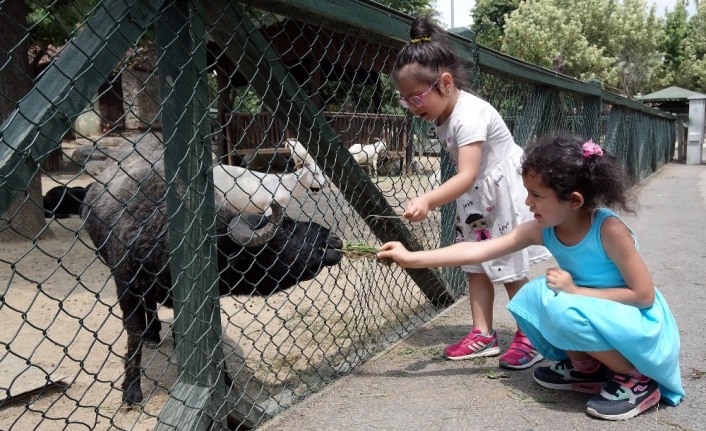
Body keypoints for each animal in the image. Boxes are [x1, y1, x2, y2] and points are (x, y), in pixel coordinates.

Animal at [81, 134, 342, 404]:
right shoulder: (125, 285)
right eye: (284, 233)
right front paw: (131, 388)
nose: (332, 239)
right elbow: (133, 333)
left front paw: (222, 380)